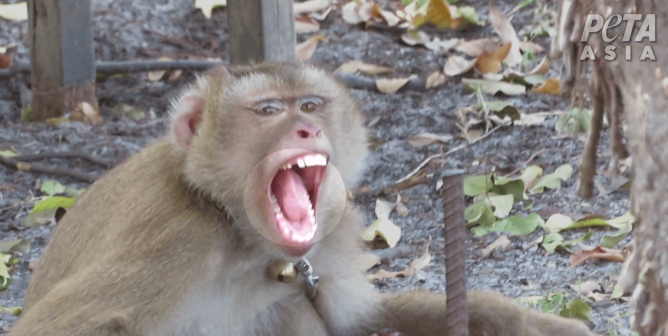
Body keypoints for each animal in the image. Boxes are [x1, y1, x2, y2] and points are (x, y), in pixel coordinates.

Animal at [7, 63, 596, 336]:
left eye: (310, 105)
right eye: (269, 110)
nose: (308, 128)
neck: (237, 231)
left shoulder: (327, 237)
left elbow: (358, 321)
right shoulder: (175, 240)